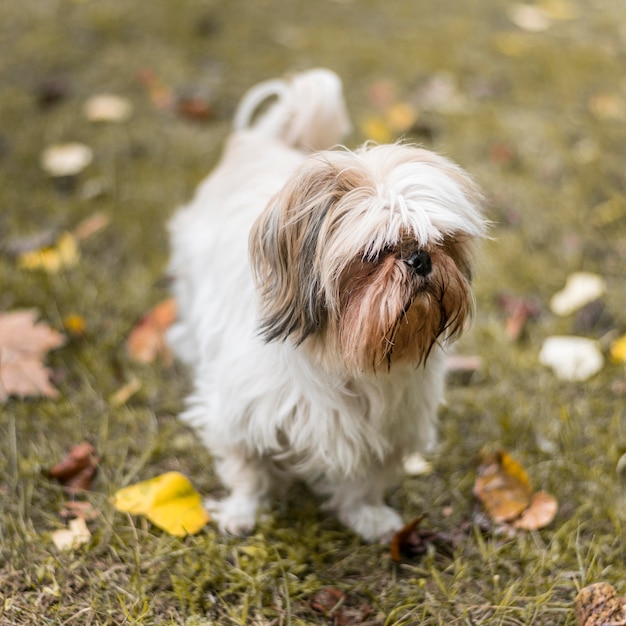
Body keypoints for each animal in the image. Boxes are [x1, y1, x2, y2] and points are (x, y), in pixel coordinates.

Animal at [167, 67, 488, 536]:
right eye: (374, 252)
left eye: (441, 242)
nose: (420, 259)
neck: (343, 356)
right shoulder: (241, 412)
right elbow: (249, 469)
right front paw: (244, 513)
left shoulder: (389, 424)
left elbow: (367, 479)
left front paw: (367, 516)